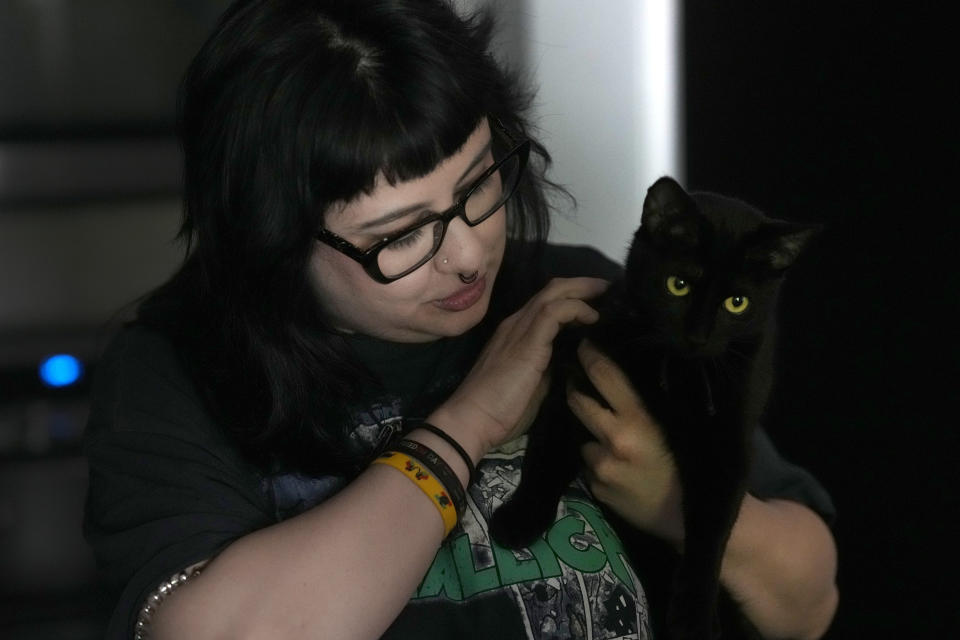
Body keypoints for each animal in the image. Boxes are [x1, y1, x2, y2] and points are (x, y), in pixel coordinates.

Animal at [496, 176, 816, 640]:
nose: (698, 336)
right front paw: (519, 519)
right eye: (677, 284)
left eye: (737, 302)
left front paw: (694, 619)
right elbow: (546, 456)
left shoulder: (727, 448)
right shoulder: (577, 384)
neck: (677, 373)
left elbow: (710, 536)